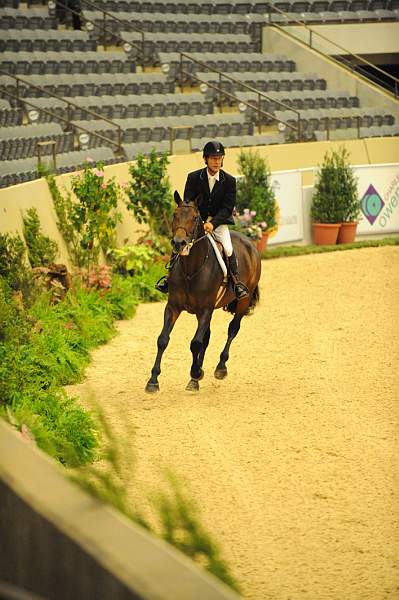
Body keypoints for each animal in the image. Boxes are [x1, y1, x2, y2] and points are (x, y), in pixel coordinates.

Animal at [145, 189, 260, 394]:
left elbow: (195, 343)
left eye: (195, 217)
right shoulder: (173, 307)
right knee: (206, 337)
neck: (191, 269)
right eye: (175, 215)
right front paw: (153, 380)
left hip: (242, 303)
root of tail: (249, 242)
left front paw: (196, 372)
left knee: (232, 330)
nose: (179, 243)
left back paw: (220, 368)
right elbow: (163, 339)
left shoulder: (205, 310)